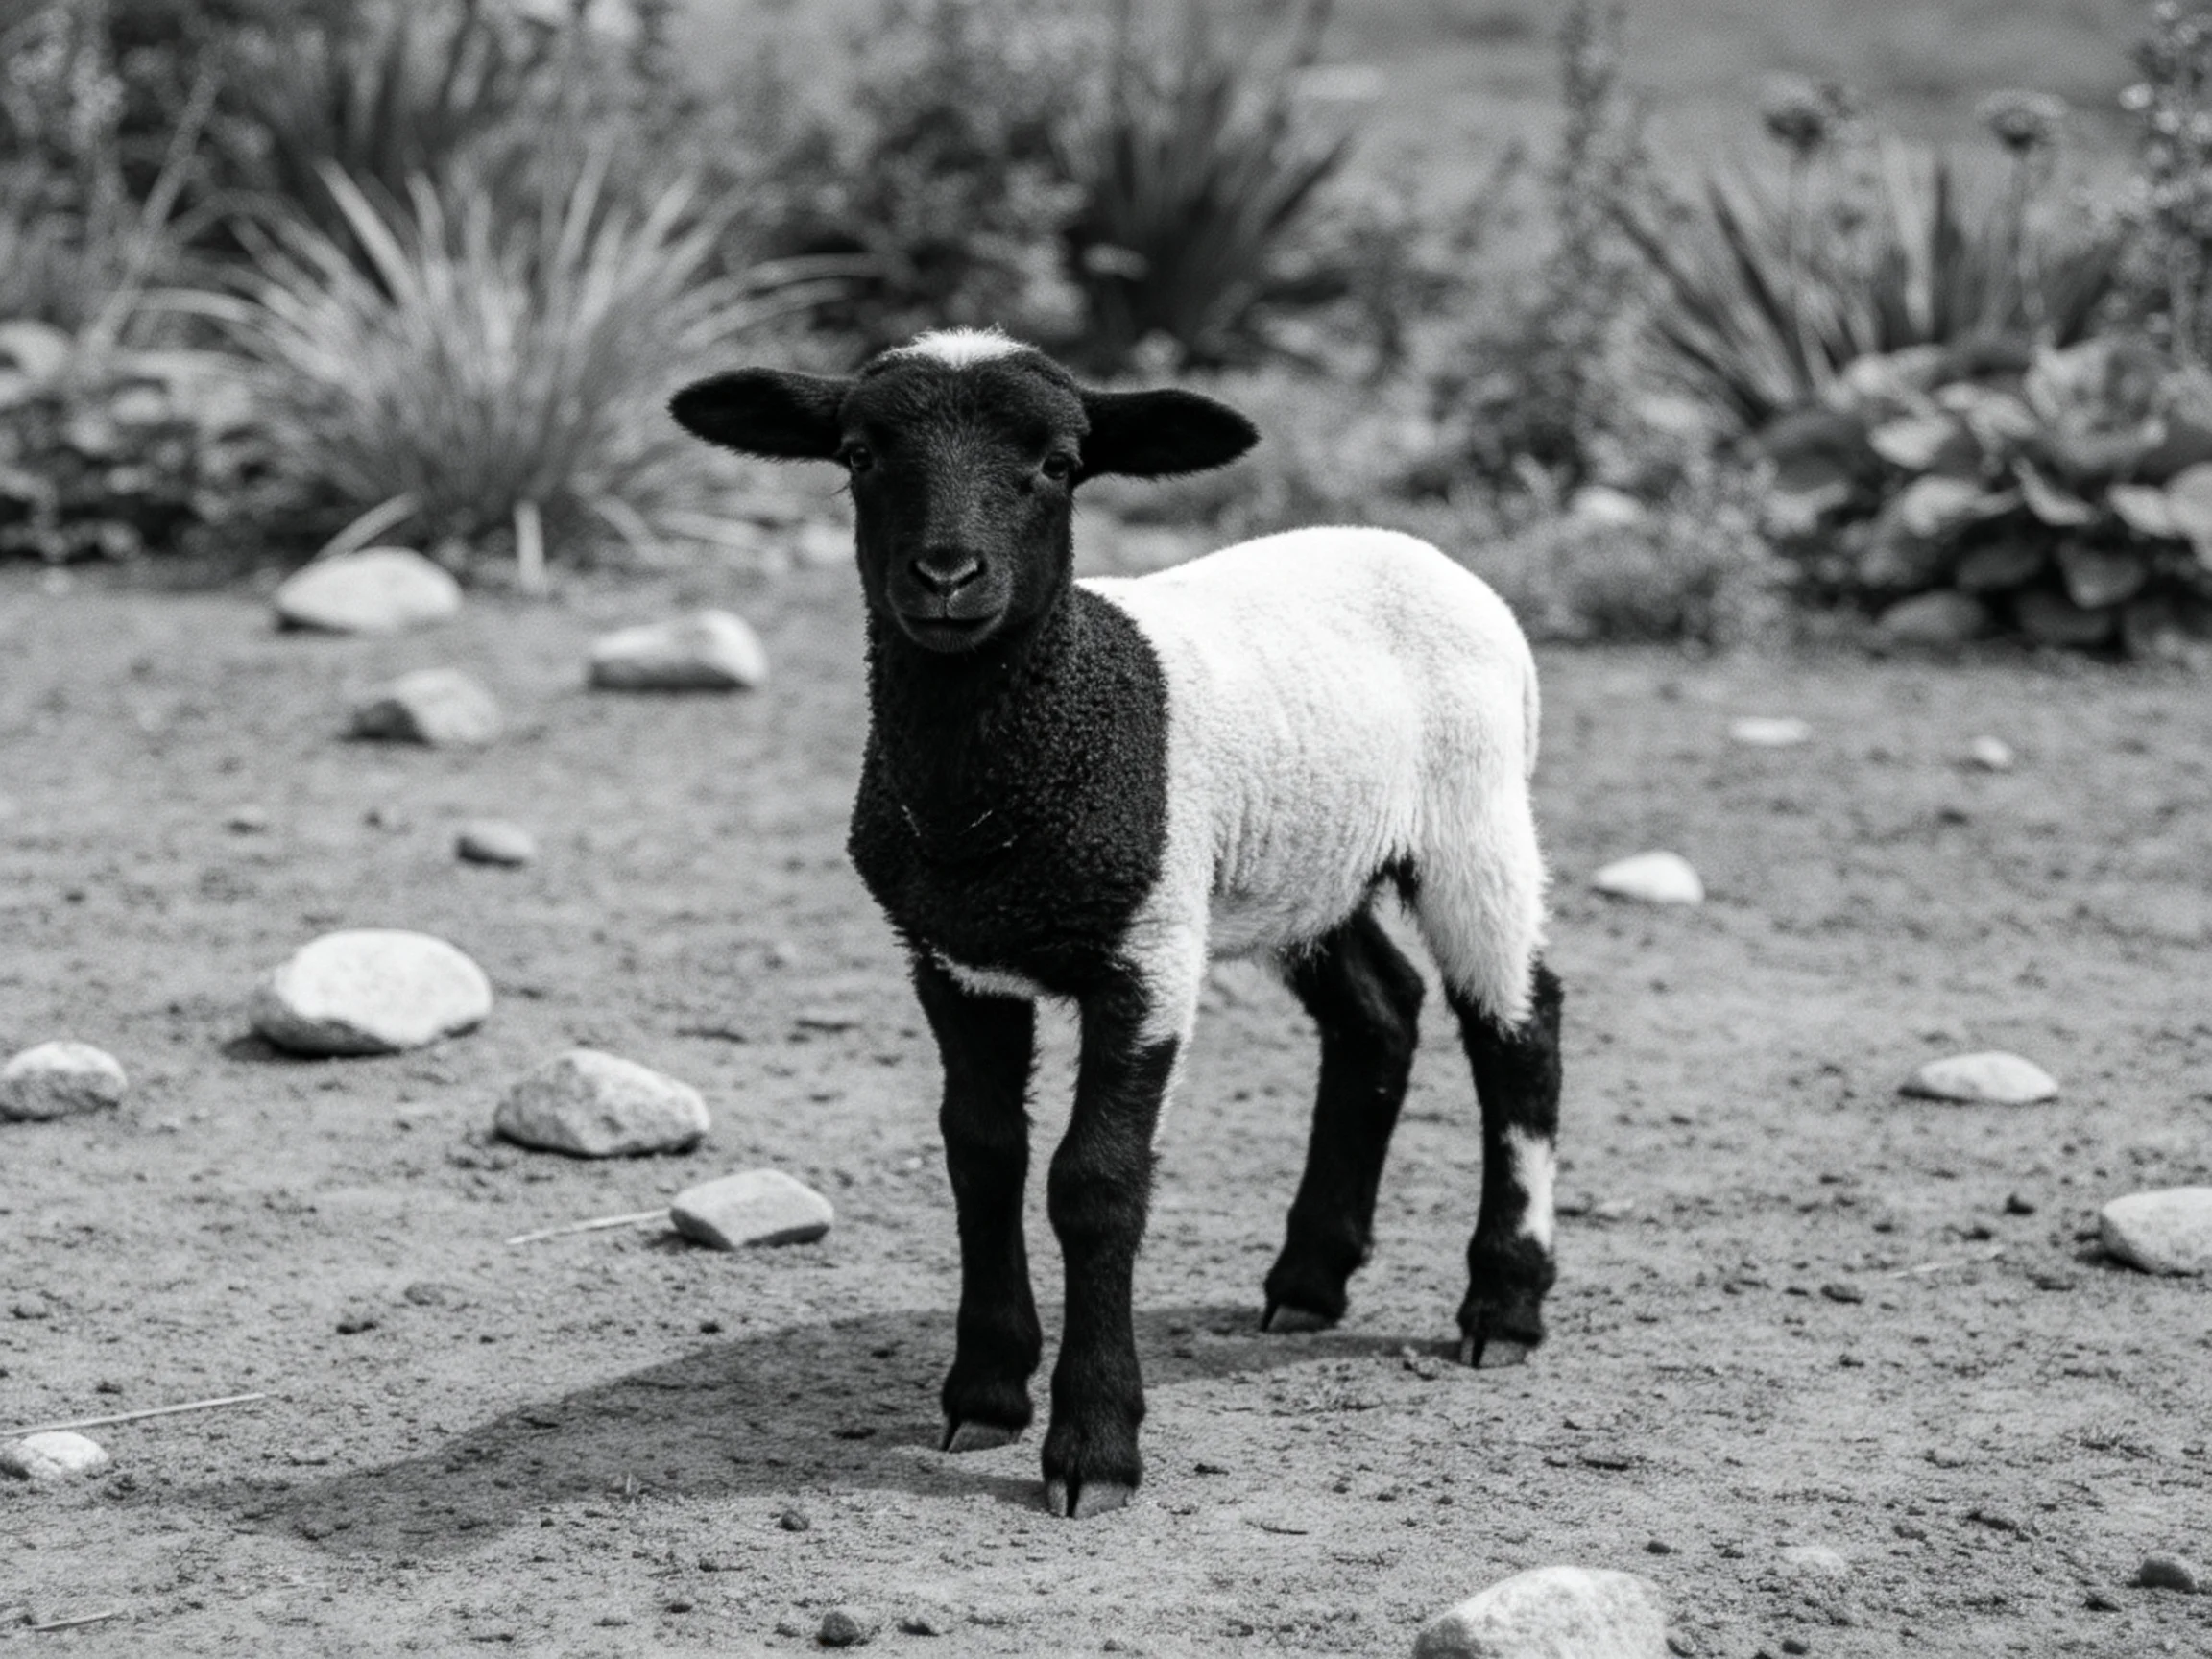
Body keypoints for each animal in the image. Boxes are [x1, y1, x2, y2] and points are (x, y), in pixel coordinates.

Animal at [670, 327, 1563, 1519]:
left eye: (1058, 464)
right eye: (859, 454)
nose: (946, 577)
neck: (995, 800)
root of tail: (1414, 549)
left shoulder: (1149, 952)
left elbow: (1093, 1183)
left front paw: (1092, 1447)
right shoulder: (952, 958)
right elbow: (983, 1154)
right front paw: (986, 1392)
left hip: (1475, 815)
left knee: (1519, 1032)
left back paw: (1504, 1305)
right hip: (1308, 867)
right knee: (1380, 1013)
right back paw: (1308, 1281)